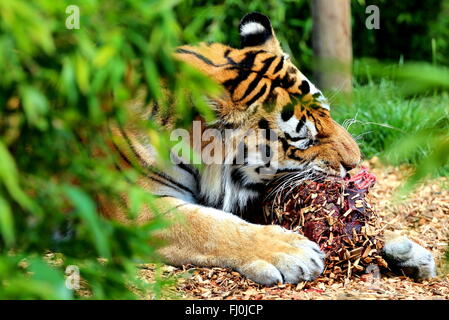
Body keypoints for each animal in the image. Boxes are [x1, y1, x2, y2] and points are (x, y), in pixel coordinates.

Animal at [103, 12, 436, 284]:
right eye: (303, 139)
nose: (356, 162)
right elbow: (210, 227)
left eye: (326, 112)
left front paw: (405, 248)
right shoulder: (136, 209)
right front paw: (292, 251)